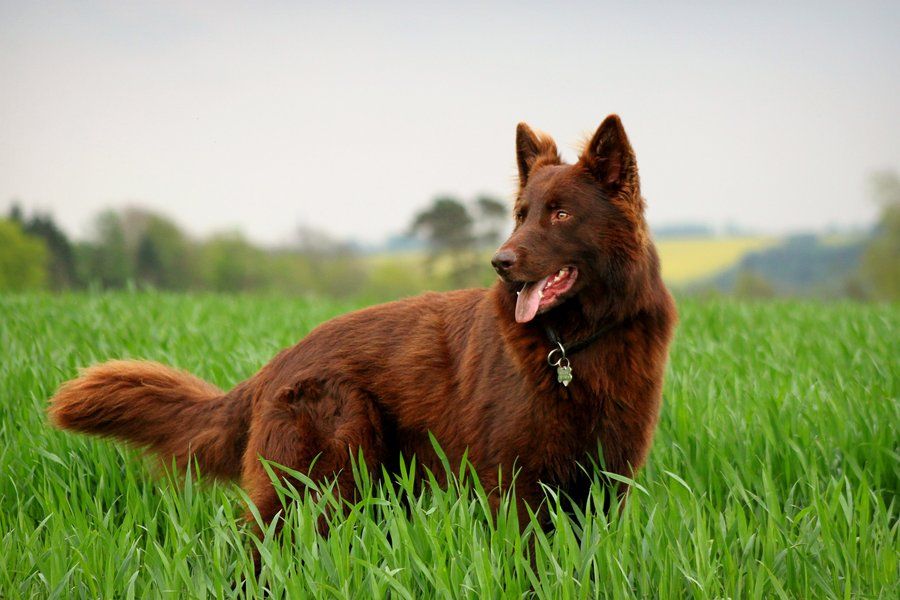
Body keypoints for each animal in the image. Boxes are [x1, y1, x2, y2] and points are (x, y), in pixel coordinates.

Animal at [49, 115, 676, 528]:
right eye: (521, 216)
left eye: (561, 214)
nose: (500, 263)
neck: (575, 344)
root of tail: (277, 364)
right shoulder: (516, 488)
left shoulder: (605, 485)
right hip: (324, 480)